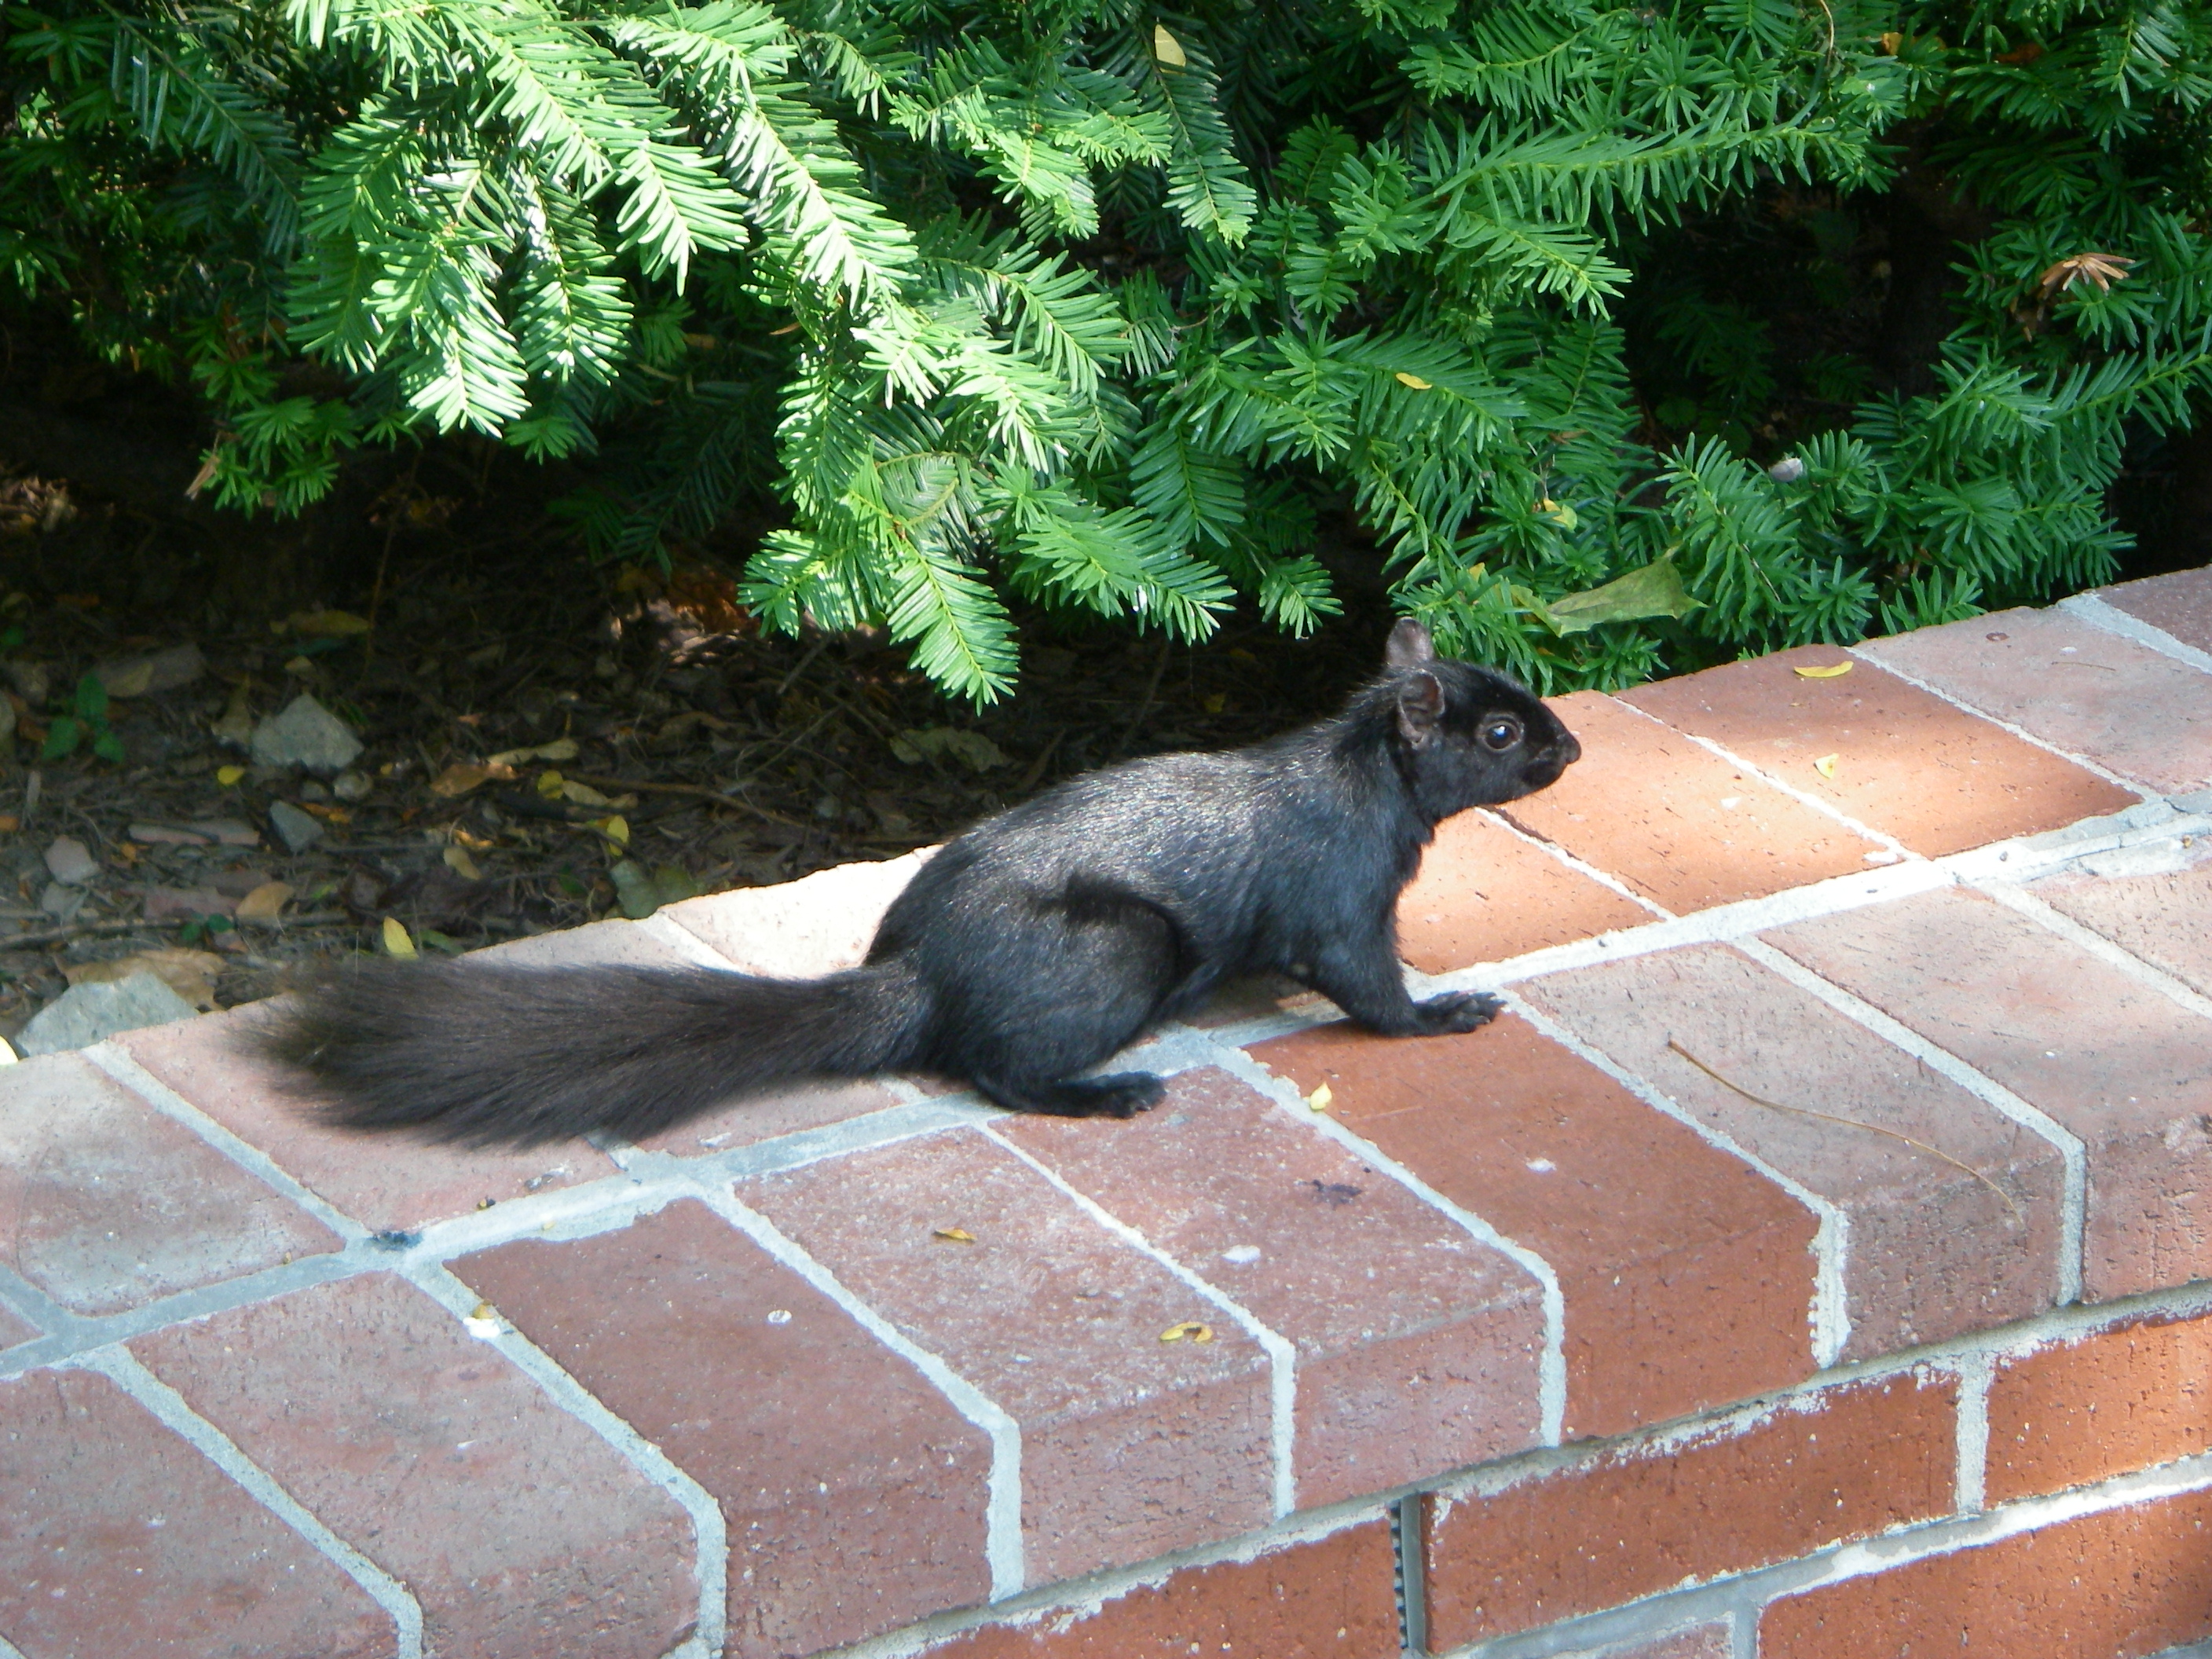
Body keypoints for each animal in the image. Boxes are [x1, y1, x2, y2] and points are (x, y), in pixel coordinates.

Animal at [263, 619, 1581, 1145]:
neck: (1364, 775)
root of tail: (919, 977)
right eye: (1499, 734)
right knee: (1000, 1067)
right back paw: (1108, 1092)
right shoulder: (1341, 897)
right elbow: (1370, 990)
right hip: (1117, 952)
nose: (1569, 747)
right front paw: (1448, 1011)